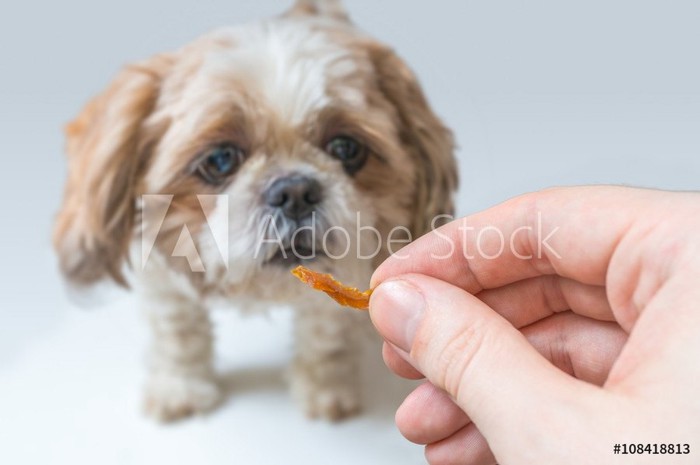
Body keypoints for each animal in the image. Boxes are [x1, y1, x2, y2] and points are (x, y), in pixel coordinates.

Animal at [56, 0, 460, 420]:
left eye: (346, 148)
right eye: (220, 159)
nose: (295, 190)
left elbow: (326, 335)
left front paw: (324, 387)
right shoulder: (158, 271)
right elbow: (178, 331)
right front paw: (180, 386)